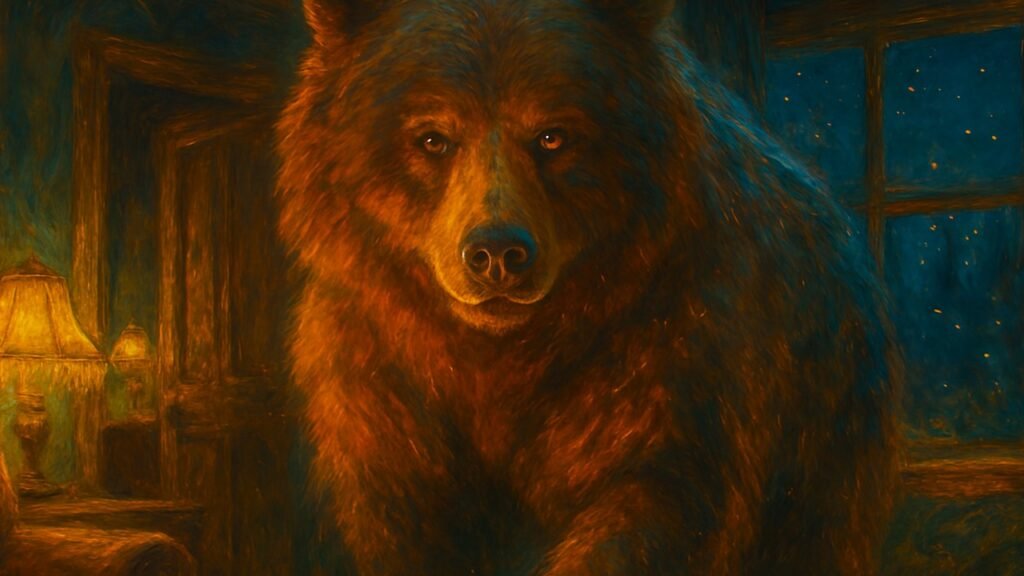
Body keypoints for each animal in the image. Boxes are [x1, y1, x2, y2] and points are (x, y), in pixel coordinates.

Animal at [276, 1, 902, 574]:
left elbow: (653, 514)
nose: (497, 254)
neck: (503, 357)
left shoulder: (676, 373)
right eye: (432, 138)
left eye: (553, 135)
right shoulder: (381, 397)